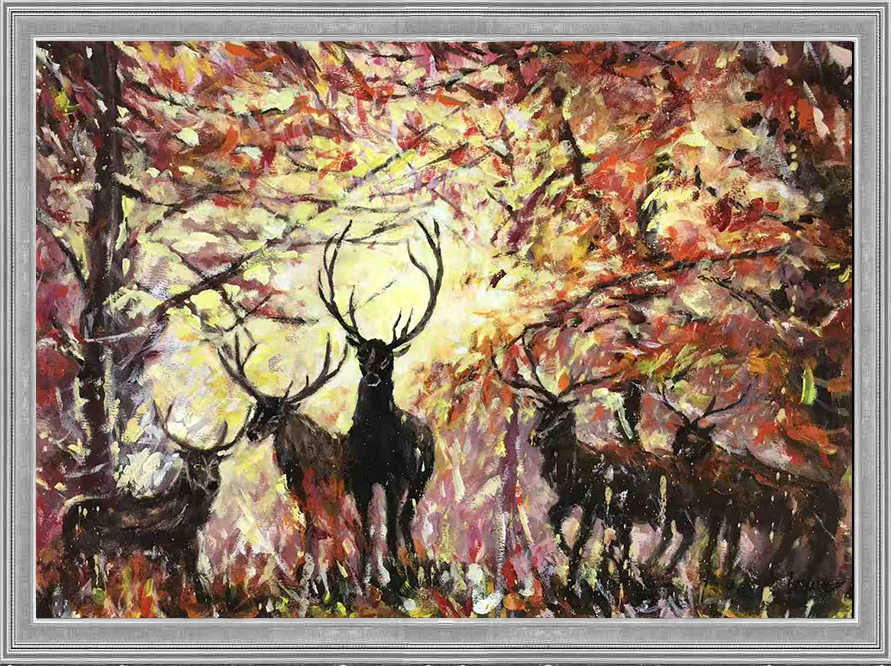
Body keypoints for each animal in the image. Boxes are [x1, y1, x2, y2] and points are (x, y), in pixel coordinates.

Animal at [61, 403, 245, 606]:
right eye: (195, 464)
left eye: (215, 463)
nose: (213, 483)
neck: (188, 512)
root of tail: (66, 519)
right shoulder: (173, 540)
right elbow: (188, 575)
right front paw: (201, 599)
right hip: (87, 547)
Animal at [215, 333, 351, 587]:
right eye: (257, 408)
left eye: (278, 416)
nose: (252, 433)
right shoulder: (304, 499)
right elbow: (312, 533)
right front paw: (307, 578)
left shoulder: (329, 497)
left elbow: (327, 534)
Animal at [317, 220, 441, 584]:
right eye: (361, 354)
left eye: (387, 358)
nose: (372, 377)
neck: (374, 444)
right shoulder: (357, 479)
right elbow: (364, 529)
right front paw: (365, 577)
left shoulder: (396, 478)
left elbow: (386, 527)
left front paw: (394, 573)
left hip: (422, 477)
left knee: (403, 520)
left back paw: (413, 565)